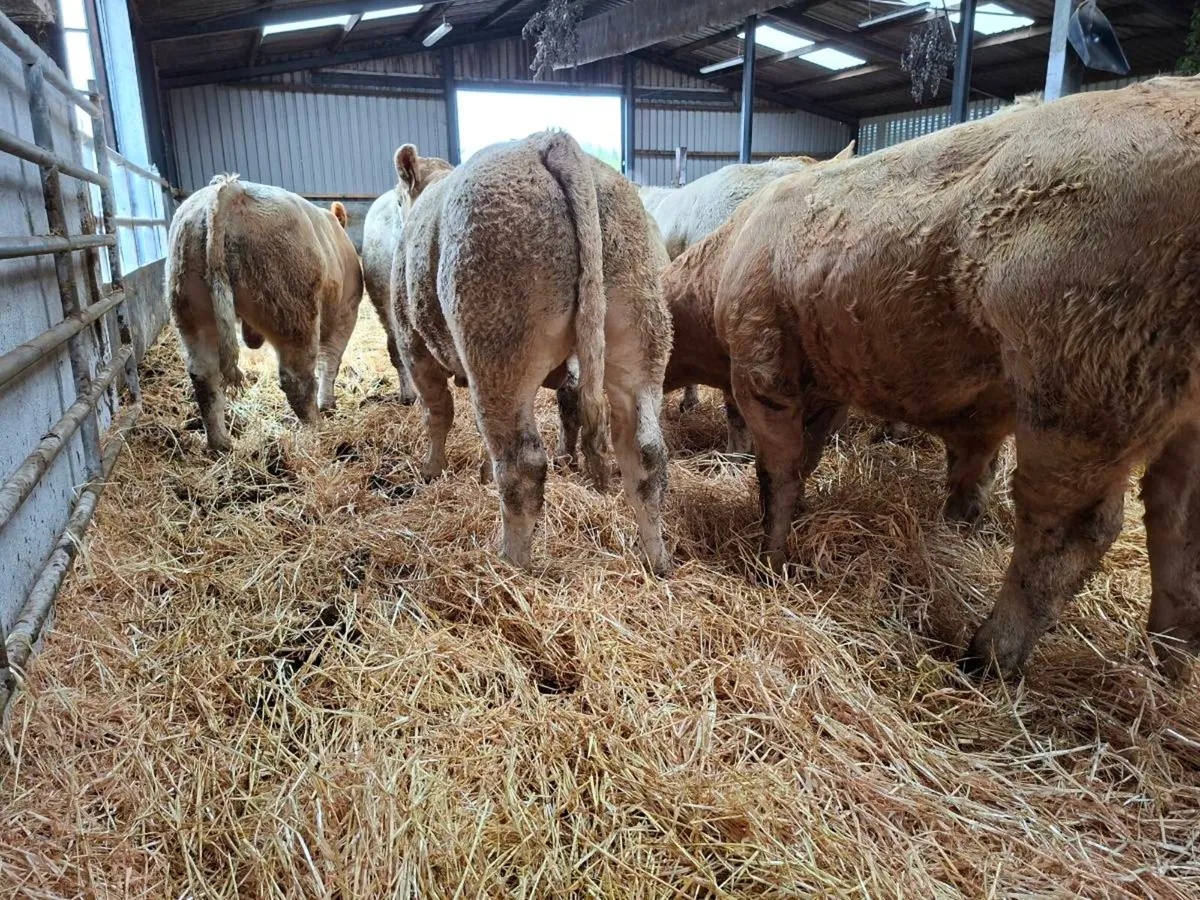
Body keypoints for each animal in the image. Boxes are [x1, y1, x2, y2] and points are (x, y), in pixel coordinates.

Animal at [166, 175, 364, 452]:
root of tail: (230, 189)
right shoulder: (346, 312)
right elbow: (330, 361)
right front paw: (328, 405)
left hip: (191, 311)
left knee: (204, 376)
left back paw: (221, 445)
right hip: (294, 314)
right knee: (298, 380)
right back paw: (317, 430)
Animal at [393, 132, 673, 574]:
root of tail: (550, 140)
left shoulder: (413, 343)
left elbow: (436, 414)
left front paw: (431, 470)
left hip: (498, 350)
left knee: (521, 463)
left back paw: (511, 565)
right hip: (640, 339)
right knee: (645, 454)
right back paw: (657, 561)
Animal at [710, 76, 1200, 678]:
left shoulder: (762, 360)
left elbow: (775, 470)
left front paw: (769, 556)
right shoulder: (821, 380)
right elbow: (805, 456)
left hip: (1084, 389)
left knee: (1071, 529)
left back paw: (987, 656)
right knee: (1177, 522)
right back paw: (1169, 661)